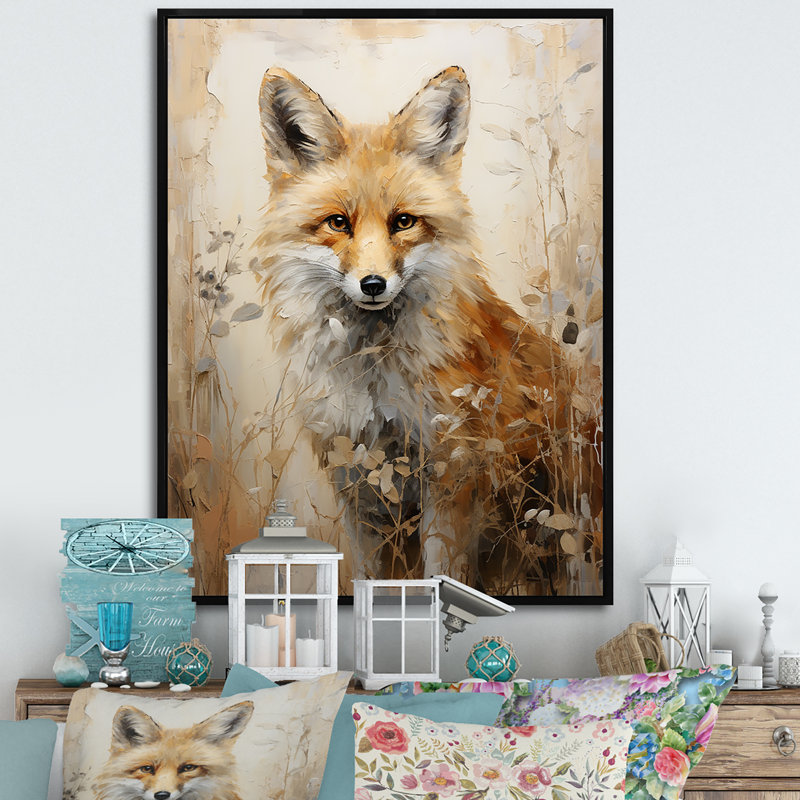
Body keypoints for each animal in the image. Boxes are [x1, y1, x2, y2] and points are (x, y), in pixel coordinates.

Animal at [255, 66, 601, 593]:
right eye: (338, 222)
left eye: (403, 222)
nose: (373, 284)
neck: (374, 380)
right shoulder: (355, 482)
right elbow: (367, 577)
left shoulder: (452, 475)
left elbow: (442, 576)